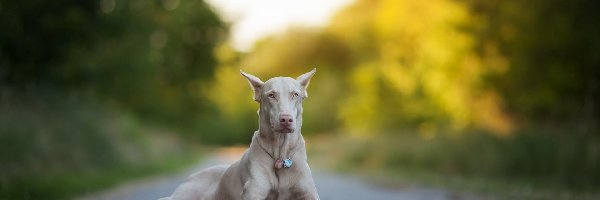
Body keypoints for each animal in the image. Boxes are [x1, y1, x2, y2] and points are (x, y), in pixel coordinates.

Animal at [158, 69, 318, 200]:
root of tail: (191, 176)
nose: (286, 119)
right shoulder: (253, 192)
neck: (280, 154)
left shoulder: (309, 193)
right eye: (271, 95)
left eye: (295, 94)